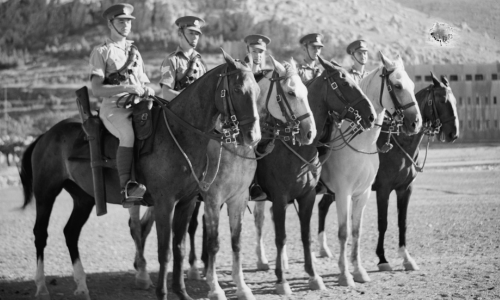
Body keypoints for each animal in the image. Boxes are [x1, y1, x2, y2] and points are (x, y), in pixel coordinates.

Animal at [18, 51, 262, 300]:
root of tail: (45, 135)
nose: (253, 136)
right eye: (237, 89)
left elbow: (180, 248)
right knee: (40, 233)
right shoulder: (168, 203)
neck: (180, 134)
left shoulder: (188, 202)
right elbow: (165, 250)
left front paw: (182, 292)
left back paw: (82, 285)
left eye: (258, 90)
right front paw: (163, 293)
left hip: (83, 197)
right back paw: (41, 286)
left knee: (71, 232)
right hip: (46, 192)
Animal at [126, 56, 316, 300]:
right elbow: (213, 242)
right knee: (136, 227)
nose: (310, 132)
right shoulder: (212, 199)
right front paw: (215, 287)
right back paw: (143, 274)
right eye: (291, 93)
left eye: (307, 91)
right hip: (141, 199)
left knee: (146, 226)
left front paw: (242, 287)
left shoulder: (237, 198)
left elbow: (235, 242)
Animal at [252, 56, 376, 296]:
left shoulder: (307, 196)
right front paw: (281, 281)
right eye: (344, 82)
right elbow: (281, 236)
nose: (371, 115)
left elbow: (305, 235)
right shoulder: (280, 198)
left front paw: (314, 276)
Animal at [316, 52, 422, 288]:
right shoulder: (345, 193)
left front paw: (358, 271)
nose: (415, 122)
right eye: (397, 85)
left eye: (412, 84)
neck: (360, 145)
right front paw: (345, 274)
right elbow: (344, 232)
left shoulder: (363, 193)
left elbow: (357, 231)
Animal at [316, 73, 460, 272]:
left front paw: (406, 257)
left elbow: (402, 222)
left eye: (455, 100)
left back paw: (323, 249)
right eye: (442, 100)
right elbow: (382, 223)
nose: (454, 133)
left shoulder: (405, 189)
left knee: (322, 206)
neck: (399, 145)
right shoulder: (383, 190)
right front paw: (382, 258)